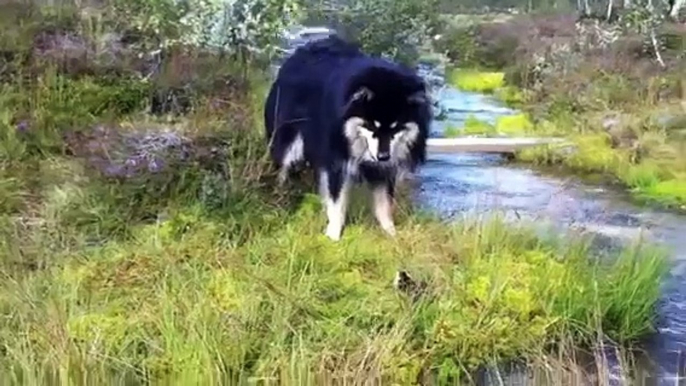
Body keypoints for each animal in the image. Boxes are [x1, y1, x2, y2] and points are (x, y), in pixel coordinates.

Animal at [264, 37, 432, 241]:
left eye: (396, 127)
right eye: (371, 125)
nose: (383, 156)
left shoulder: (383, 169)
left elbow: (384, 204)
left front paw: (391, 234)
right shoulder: (338, 160)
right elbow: (337, 202)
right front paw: (333, 236)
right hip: (288, 142)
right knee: (283, 169)